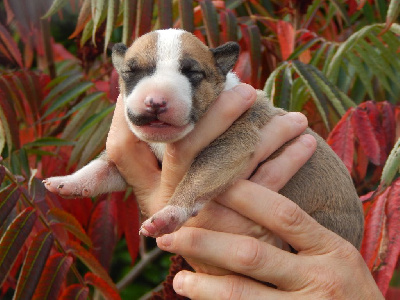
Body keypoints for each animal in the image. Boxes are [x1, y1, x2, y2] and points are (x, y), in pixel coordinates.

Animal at [42, 28, 364, 248]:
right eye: (131, 72)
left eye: (193, 73)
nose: (156, 102)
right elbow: (100, 168)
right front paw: (68, 182)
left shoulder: (231, 144)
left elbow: (196, 177)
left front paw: (169, 213)